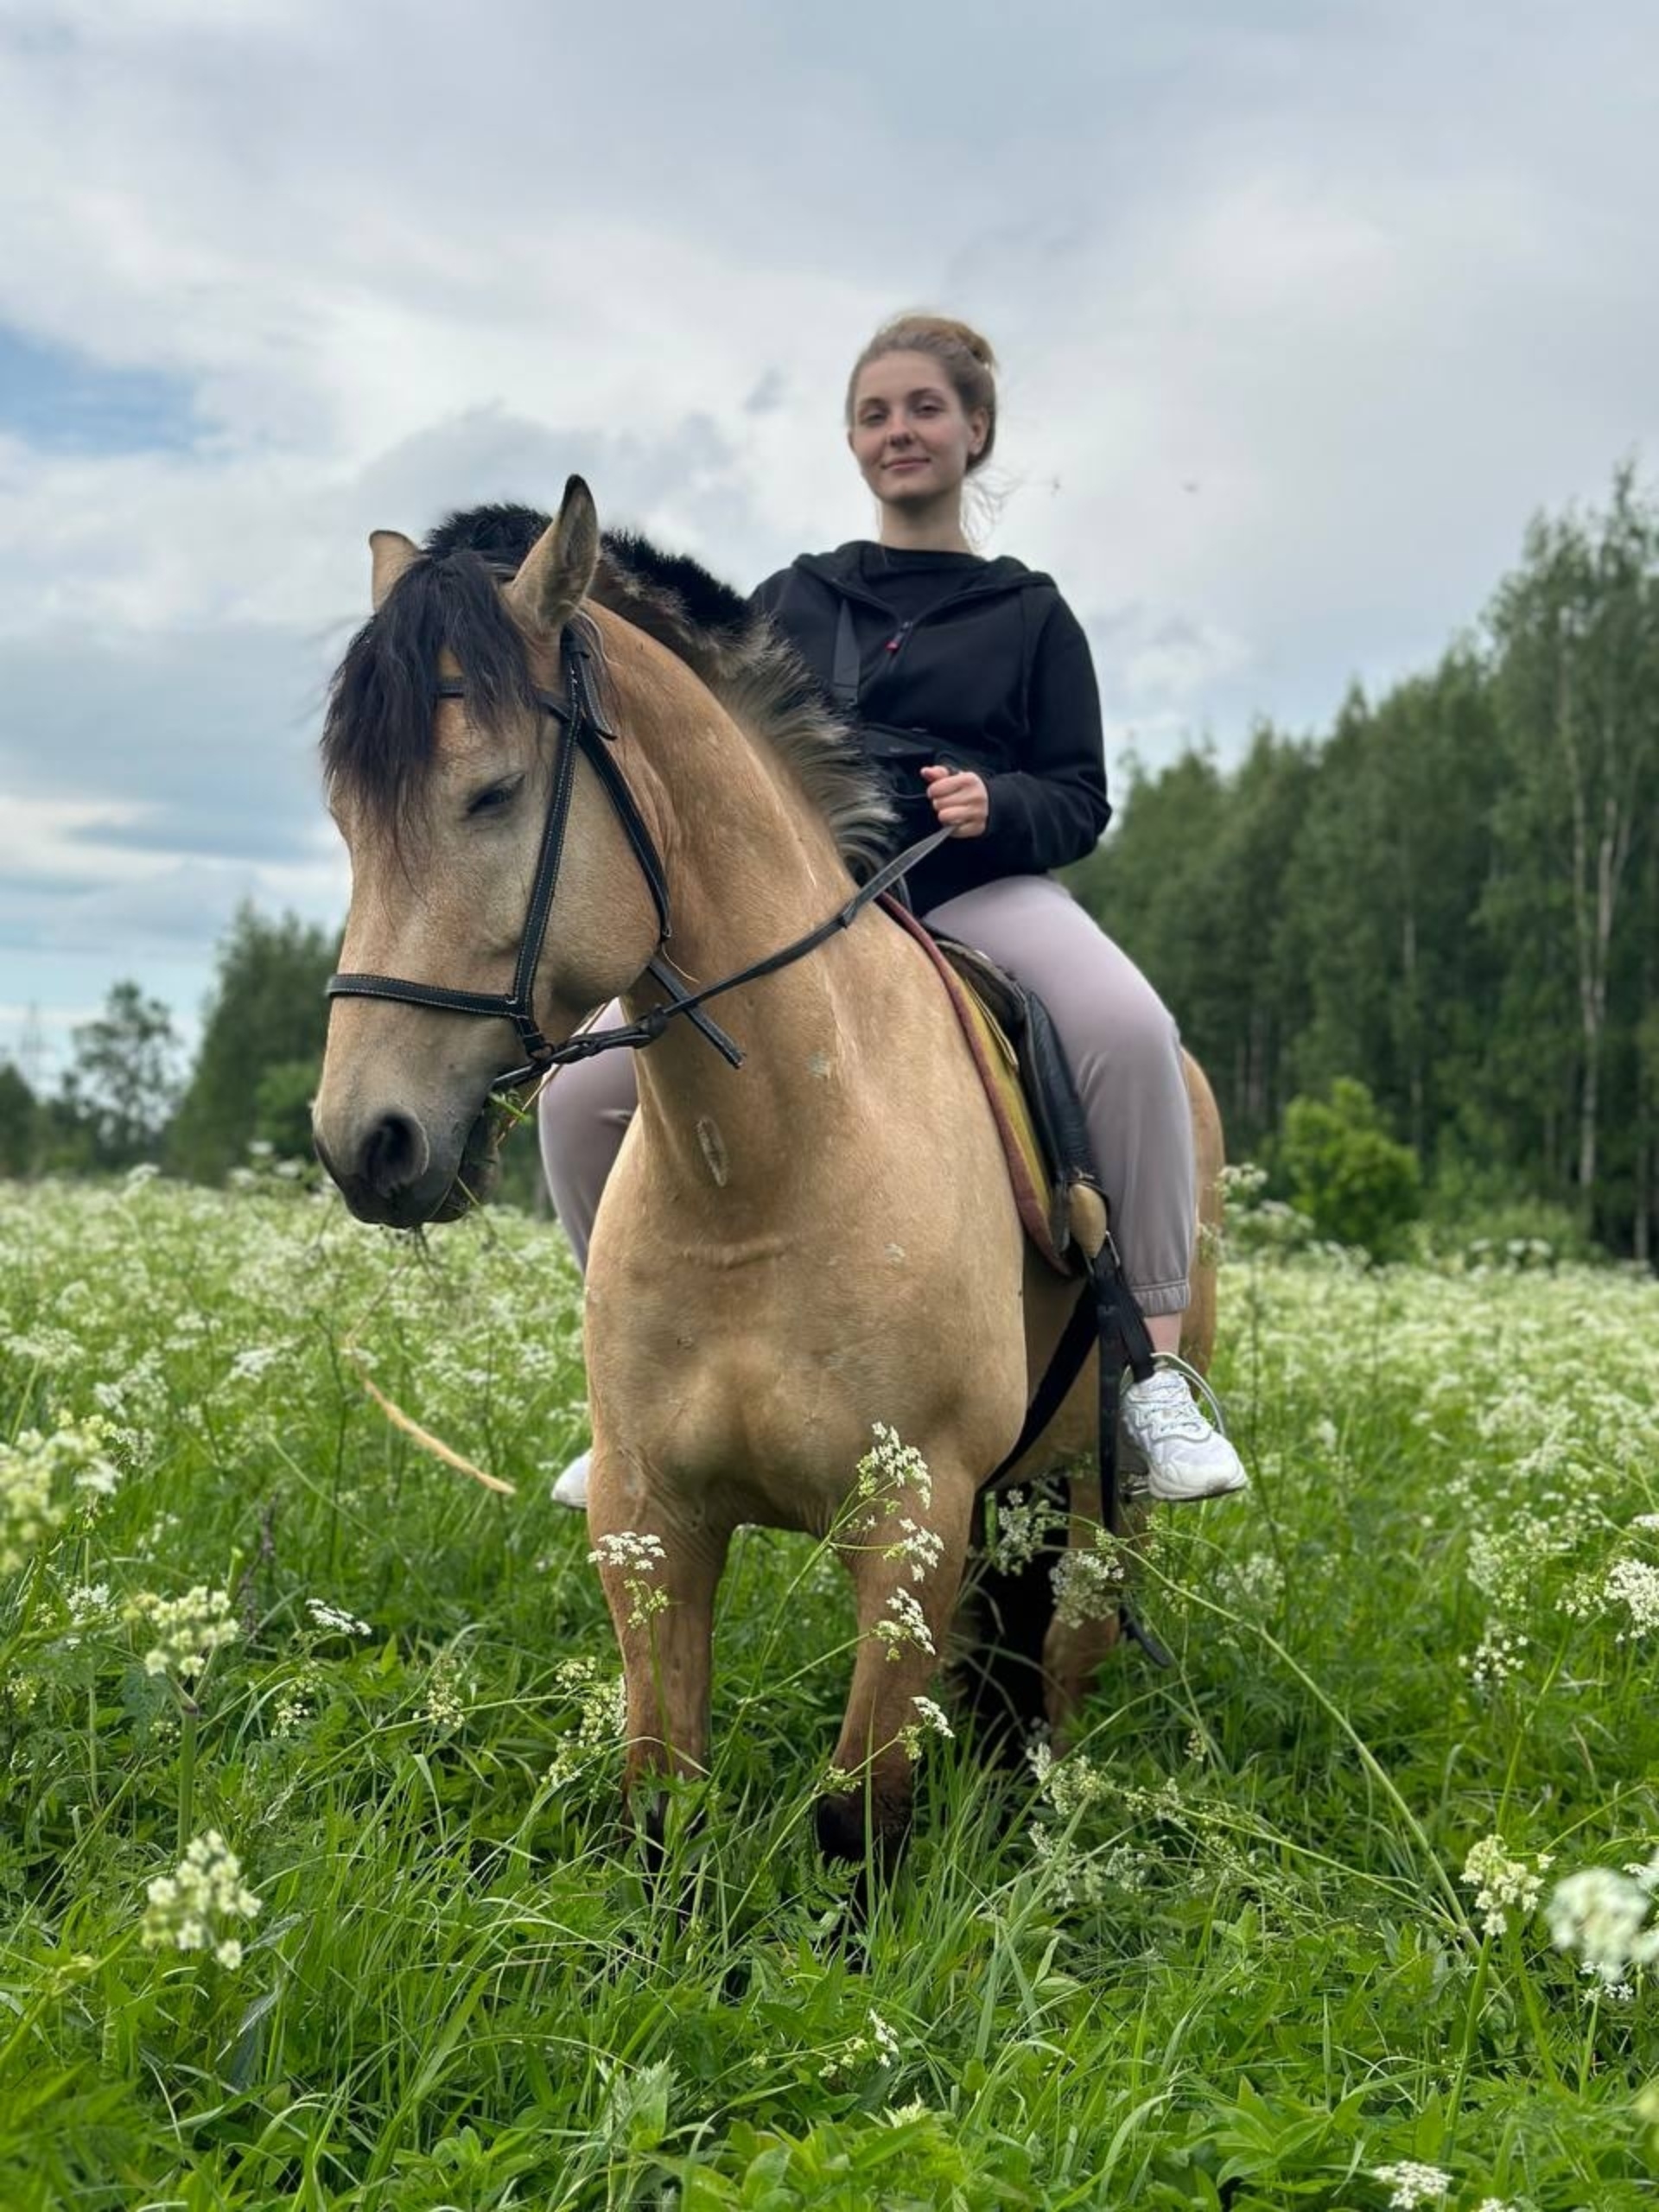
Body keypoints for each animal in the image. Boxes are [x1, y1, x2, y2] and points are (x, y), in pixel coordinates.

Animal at [311, 484, 1230, 1866]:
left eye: (494, 795)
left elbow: (860, 1823)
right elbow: (658, 1804)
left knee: (1065, 1658)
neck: (766, 1172)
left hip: (1098, 1495)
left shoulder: (911, 1524)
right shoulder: (653, 1528)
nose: (365, 1141)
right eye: (348, 817)